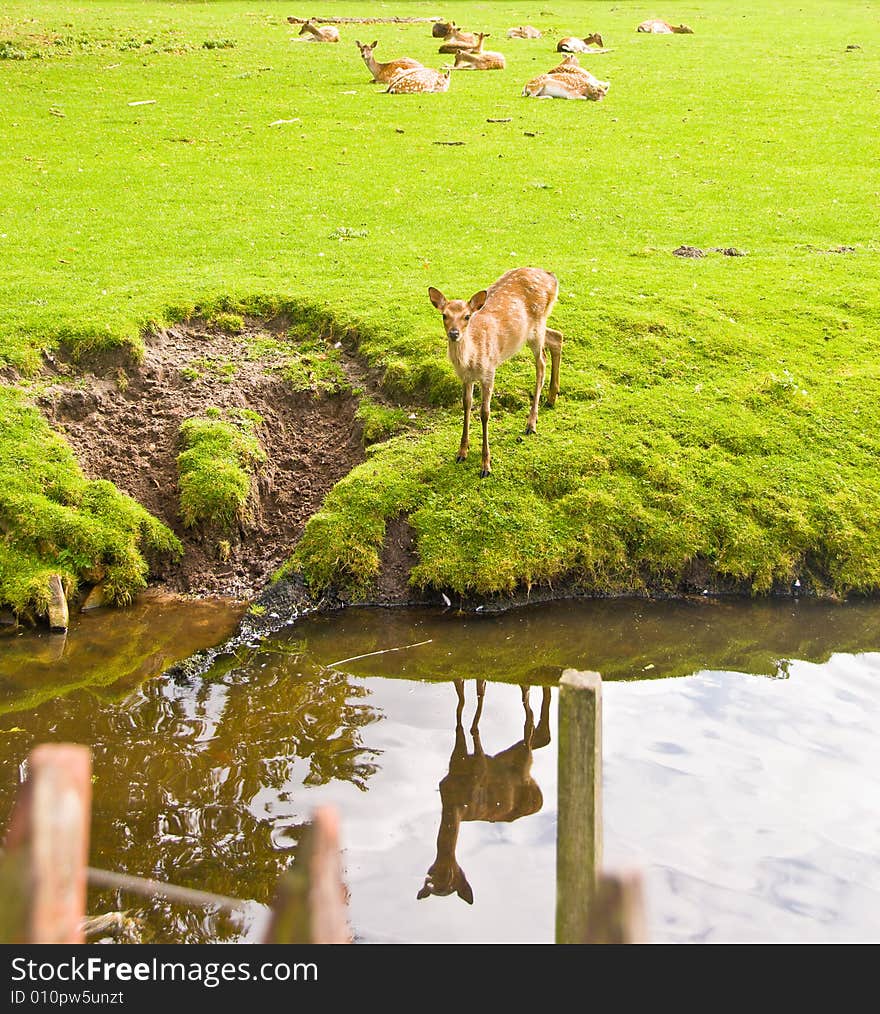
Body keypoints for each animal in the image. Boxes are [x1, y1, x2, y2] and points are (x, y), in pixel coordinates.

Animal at [413, 681, 551, 904]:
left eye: (451, 877)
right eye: (431, 878)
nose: (440, 876)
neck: (456, 799)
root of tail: (539, 800)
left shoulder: (480, 768)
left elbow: (479, 699)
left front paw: (474, 728)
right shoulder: (453, 766)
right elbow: (461, 702)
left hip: (523, 763)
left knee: (529, 726)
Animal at [427, 267, 563, 476]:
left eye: (467, 316)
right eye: (444, 315)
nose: (454, 333)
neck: (471, 360)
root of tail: (552, 277)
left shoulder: (489, 371)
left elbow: (485, 413)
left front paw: (485, 465)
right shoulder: (466, 378)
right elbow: (466, 405)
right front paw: (461, 452)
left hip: (537, 327)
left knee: (542, 362)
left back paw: (531, 423)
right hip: (532, 331)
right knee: (557, 337)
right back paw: (551, 398)